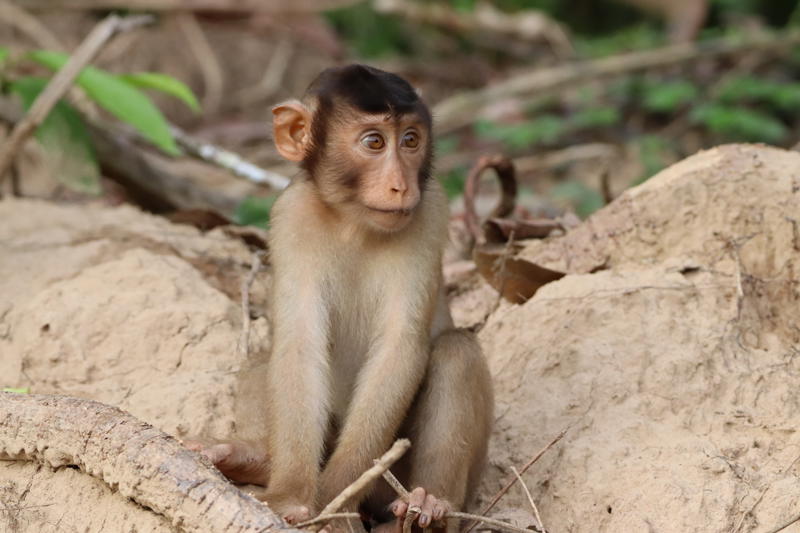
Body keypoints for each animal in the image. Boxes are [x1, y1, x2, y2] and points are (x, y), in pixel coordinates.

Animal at [186, 64, 493, 533]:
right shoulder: (291, 214)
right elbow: (297, 345)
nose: (401, 186)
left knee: (457, 351)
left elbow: (399, 347)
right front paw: (290, 495)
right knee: (263, 356)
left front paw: (332, 504)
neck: (353, 222)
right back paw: (253, 459)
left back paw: (431, 508)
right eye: (374, 142)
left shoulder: (432, 210)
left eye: (411, 140)